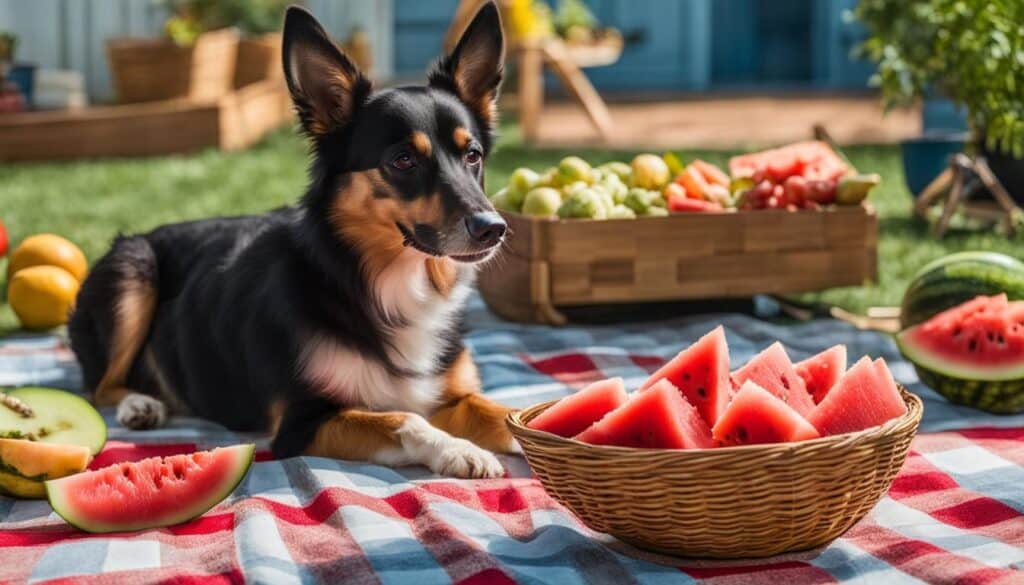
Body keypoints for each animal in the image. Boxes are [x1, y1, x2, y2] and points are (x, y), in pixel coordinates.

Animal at [70, 3, 520, 481]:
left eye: (472, 155)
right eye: (402, 160)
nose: (493, 228)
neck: (380, 282)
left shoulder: (447, 394)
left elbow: (498, 411)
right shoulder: (301, 423)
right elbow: (404, 419)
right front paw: (457, 449)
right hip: (133, 269)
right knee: (98, 387)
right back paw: (139, 403)